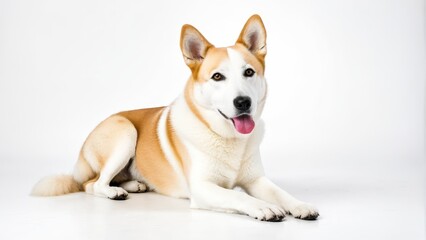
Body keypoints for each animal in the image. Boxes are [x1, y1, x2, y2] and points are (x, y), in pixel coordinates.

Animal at [33, 14, 318, 221]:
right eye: (217, 77)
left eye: (248, 72)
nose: (243, 102)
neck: (227, 137)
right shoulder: (203, 189)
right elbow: (240, 197)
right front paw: (263, 207)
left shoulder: (256, 180)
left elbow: (280, 193)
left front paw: (299, 205)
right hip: (125, 132)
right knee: (92, 184)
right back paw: (115, 191)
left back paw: (133, 185)